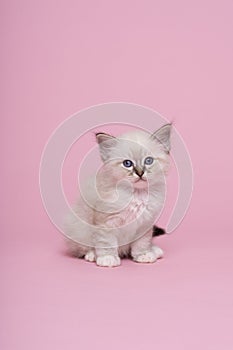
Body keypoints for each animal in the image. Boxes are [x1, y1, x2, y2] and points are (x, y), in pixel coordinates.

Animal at [64, 124, 172, 266]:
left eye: (148, 161)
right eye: (127, 163)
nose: (140, 173)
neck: (136, 195)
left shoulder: (145, 224)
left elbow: (142, 243)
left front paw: (143, 255)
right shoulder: (106, 222)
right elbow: (107, 241)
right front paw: (107, 258)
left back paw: (154, 250)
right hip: (78, 228)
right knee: (81, 248)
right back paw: (92, 255)